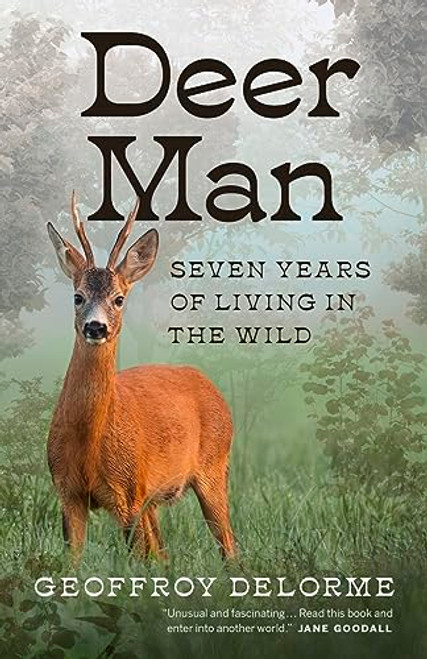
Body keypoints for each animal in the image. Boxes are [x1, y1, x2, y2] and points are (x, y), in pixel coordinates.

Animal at [46, 192, 236, 563]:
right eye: (77, 297)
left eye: (119, 299)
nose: (96, 327)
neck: (88, 444)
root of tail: (210, 385)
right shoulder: (67, 492)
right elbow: (71, 563)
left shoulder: (127, 492)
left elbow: (134, 562)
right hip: (153, 499)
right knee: (163, 553)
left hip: (213, 467)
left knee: (229, 545)